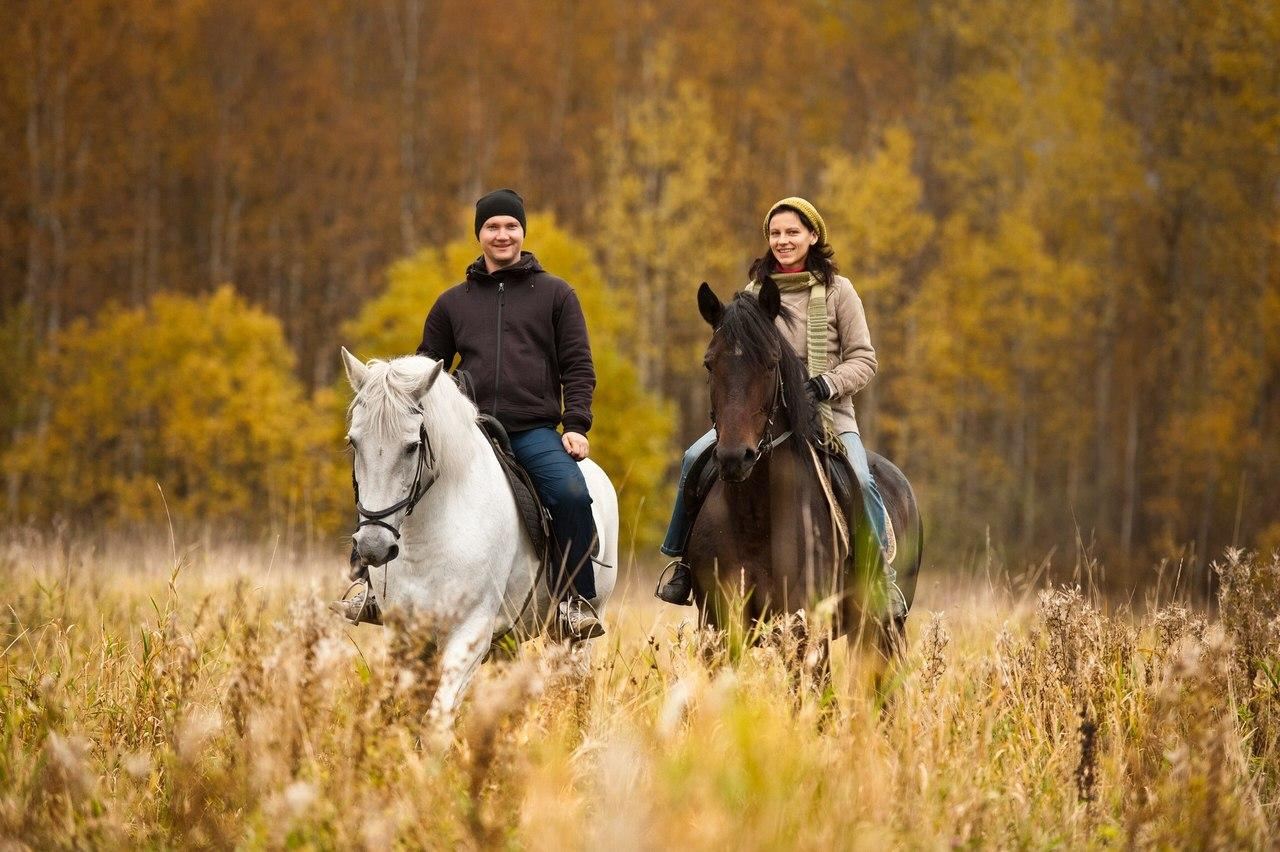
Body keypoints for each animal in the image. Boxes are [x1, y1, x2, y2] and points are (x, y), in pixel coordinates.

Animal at [340, 345, 619, 721]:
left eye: (412, 446)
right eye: (354, 442)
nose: (373, 546)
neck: (426, 541)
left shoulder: (469, 634)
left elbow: (437, 718)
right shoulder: (406, 637)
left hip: (574, 635)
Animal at [691, 278, 921, 654]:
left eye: (771, 363)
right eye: (710, 364)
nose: (735, 457)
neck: (755, 517)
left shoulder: (806, 629)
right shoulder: (718, 627)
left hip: (874, 627)